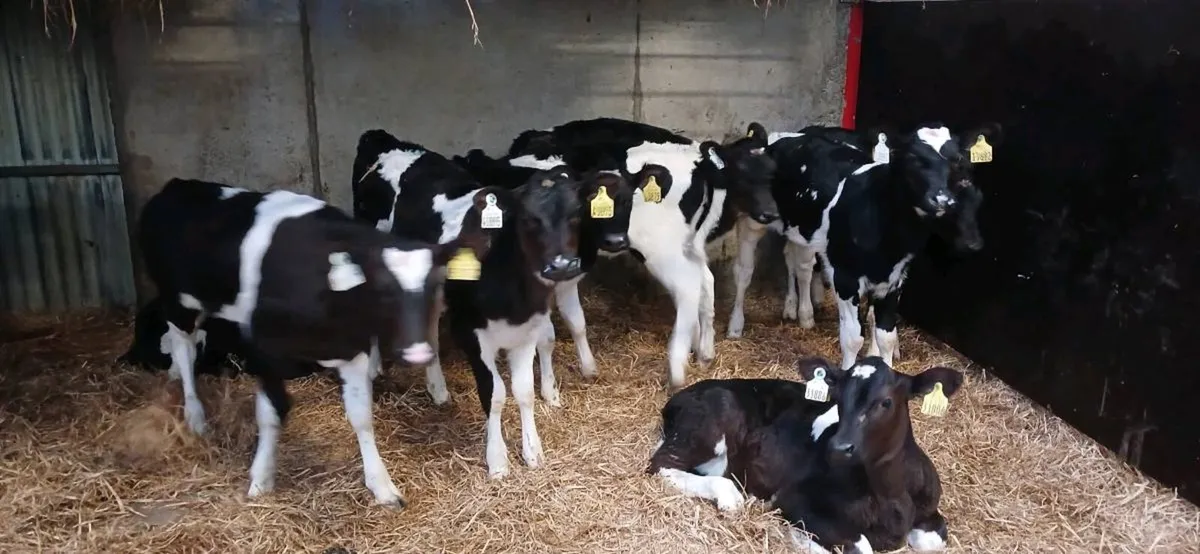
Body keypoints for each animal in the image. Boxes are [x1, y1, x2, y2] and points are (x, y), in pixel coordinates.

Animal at [137, 177, 462, 507]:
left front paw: (382, 485)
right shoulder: (263, 351)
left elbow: (361, 417)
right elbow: (272, 413)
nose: (419, 352)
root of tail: (178, 184)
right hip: (178, 303)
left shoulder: (352, 349)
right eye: (382, 290)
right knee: (183, 348)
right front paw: (261, 478)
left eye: (434, 288)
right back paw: (194, 414)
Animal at [504, 117, 779, 390]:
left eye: (771, 172)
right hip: (681, 246)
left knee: (689, 286)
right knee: (703, 282)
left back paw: (677, 365)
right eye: (743, 172)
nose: (771, 213)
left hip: (662, 248)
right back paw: (703, 352)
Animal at [647, 355, 964, 553]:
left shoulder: (929, 511)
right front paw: (803, 541)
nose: (838, 447)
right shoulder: (796, 500)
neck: (891, 497)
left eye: (885, 402)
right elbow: (861, 545)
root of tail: (679, 396)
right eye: (837, 399)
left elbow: (934, 540)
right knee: (661, 464)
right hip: (715, 415)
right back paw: (728, 495)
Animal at [725, 123, 1002, 371]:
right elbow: (852, 338)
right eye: (912, 159)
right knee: (744, 272)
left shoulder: (894, 281)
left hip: (801, 229)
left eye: (957, 162)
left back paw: (801, 313)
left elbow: (886, 336)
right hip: (752, 221)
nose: (942, 200)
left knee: (799, 264)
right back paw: (736, 326)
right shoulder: (846, 277)